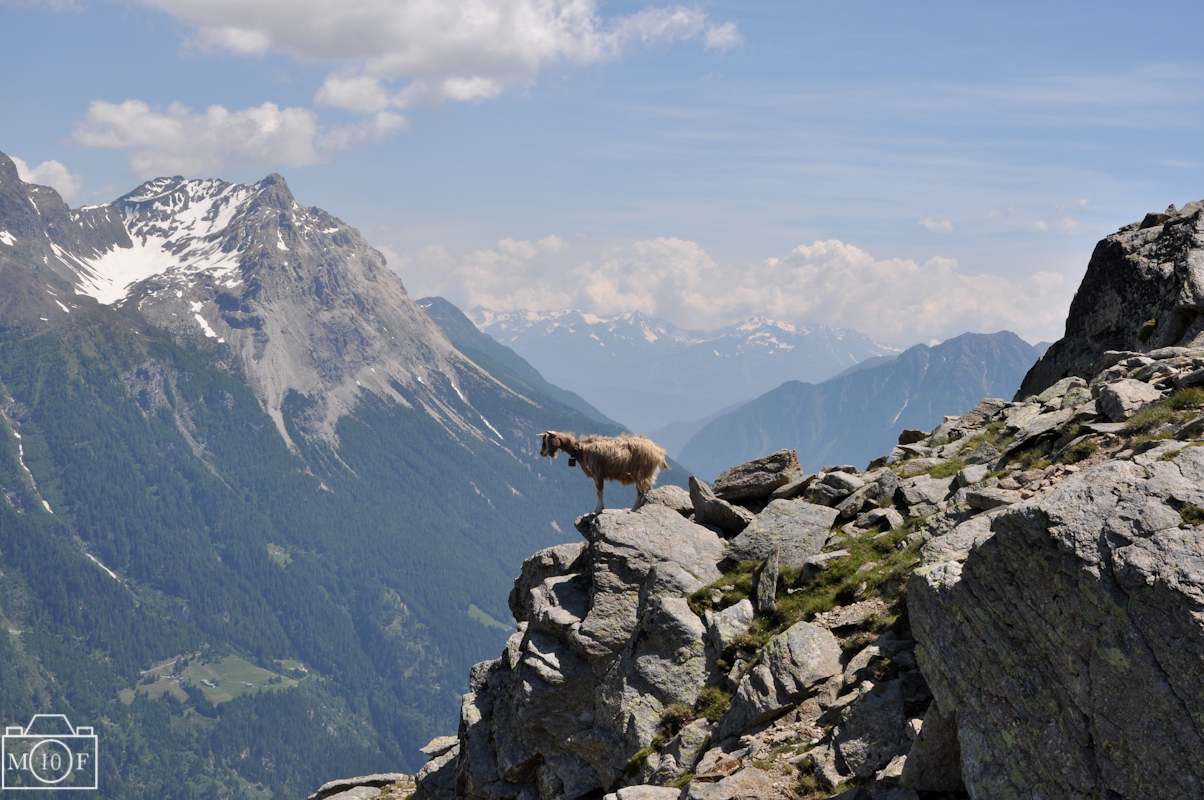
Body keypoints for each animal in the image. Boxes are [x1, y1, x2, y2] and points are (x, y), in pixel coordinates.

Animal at [536, 431, 669, 513]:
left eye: (548, 440)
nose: (542, 453)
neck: (580, 449)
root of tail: (659, 452)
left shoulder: (597, 472)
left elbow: (599, 491)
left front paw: (598, 509)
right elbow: (599, 491)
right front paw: (598, 508)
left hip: (641, 472)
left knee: (642, 491)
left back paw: (633, 509)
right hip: (647, 473)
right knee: (648, 489)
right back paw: (639, 507)